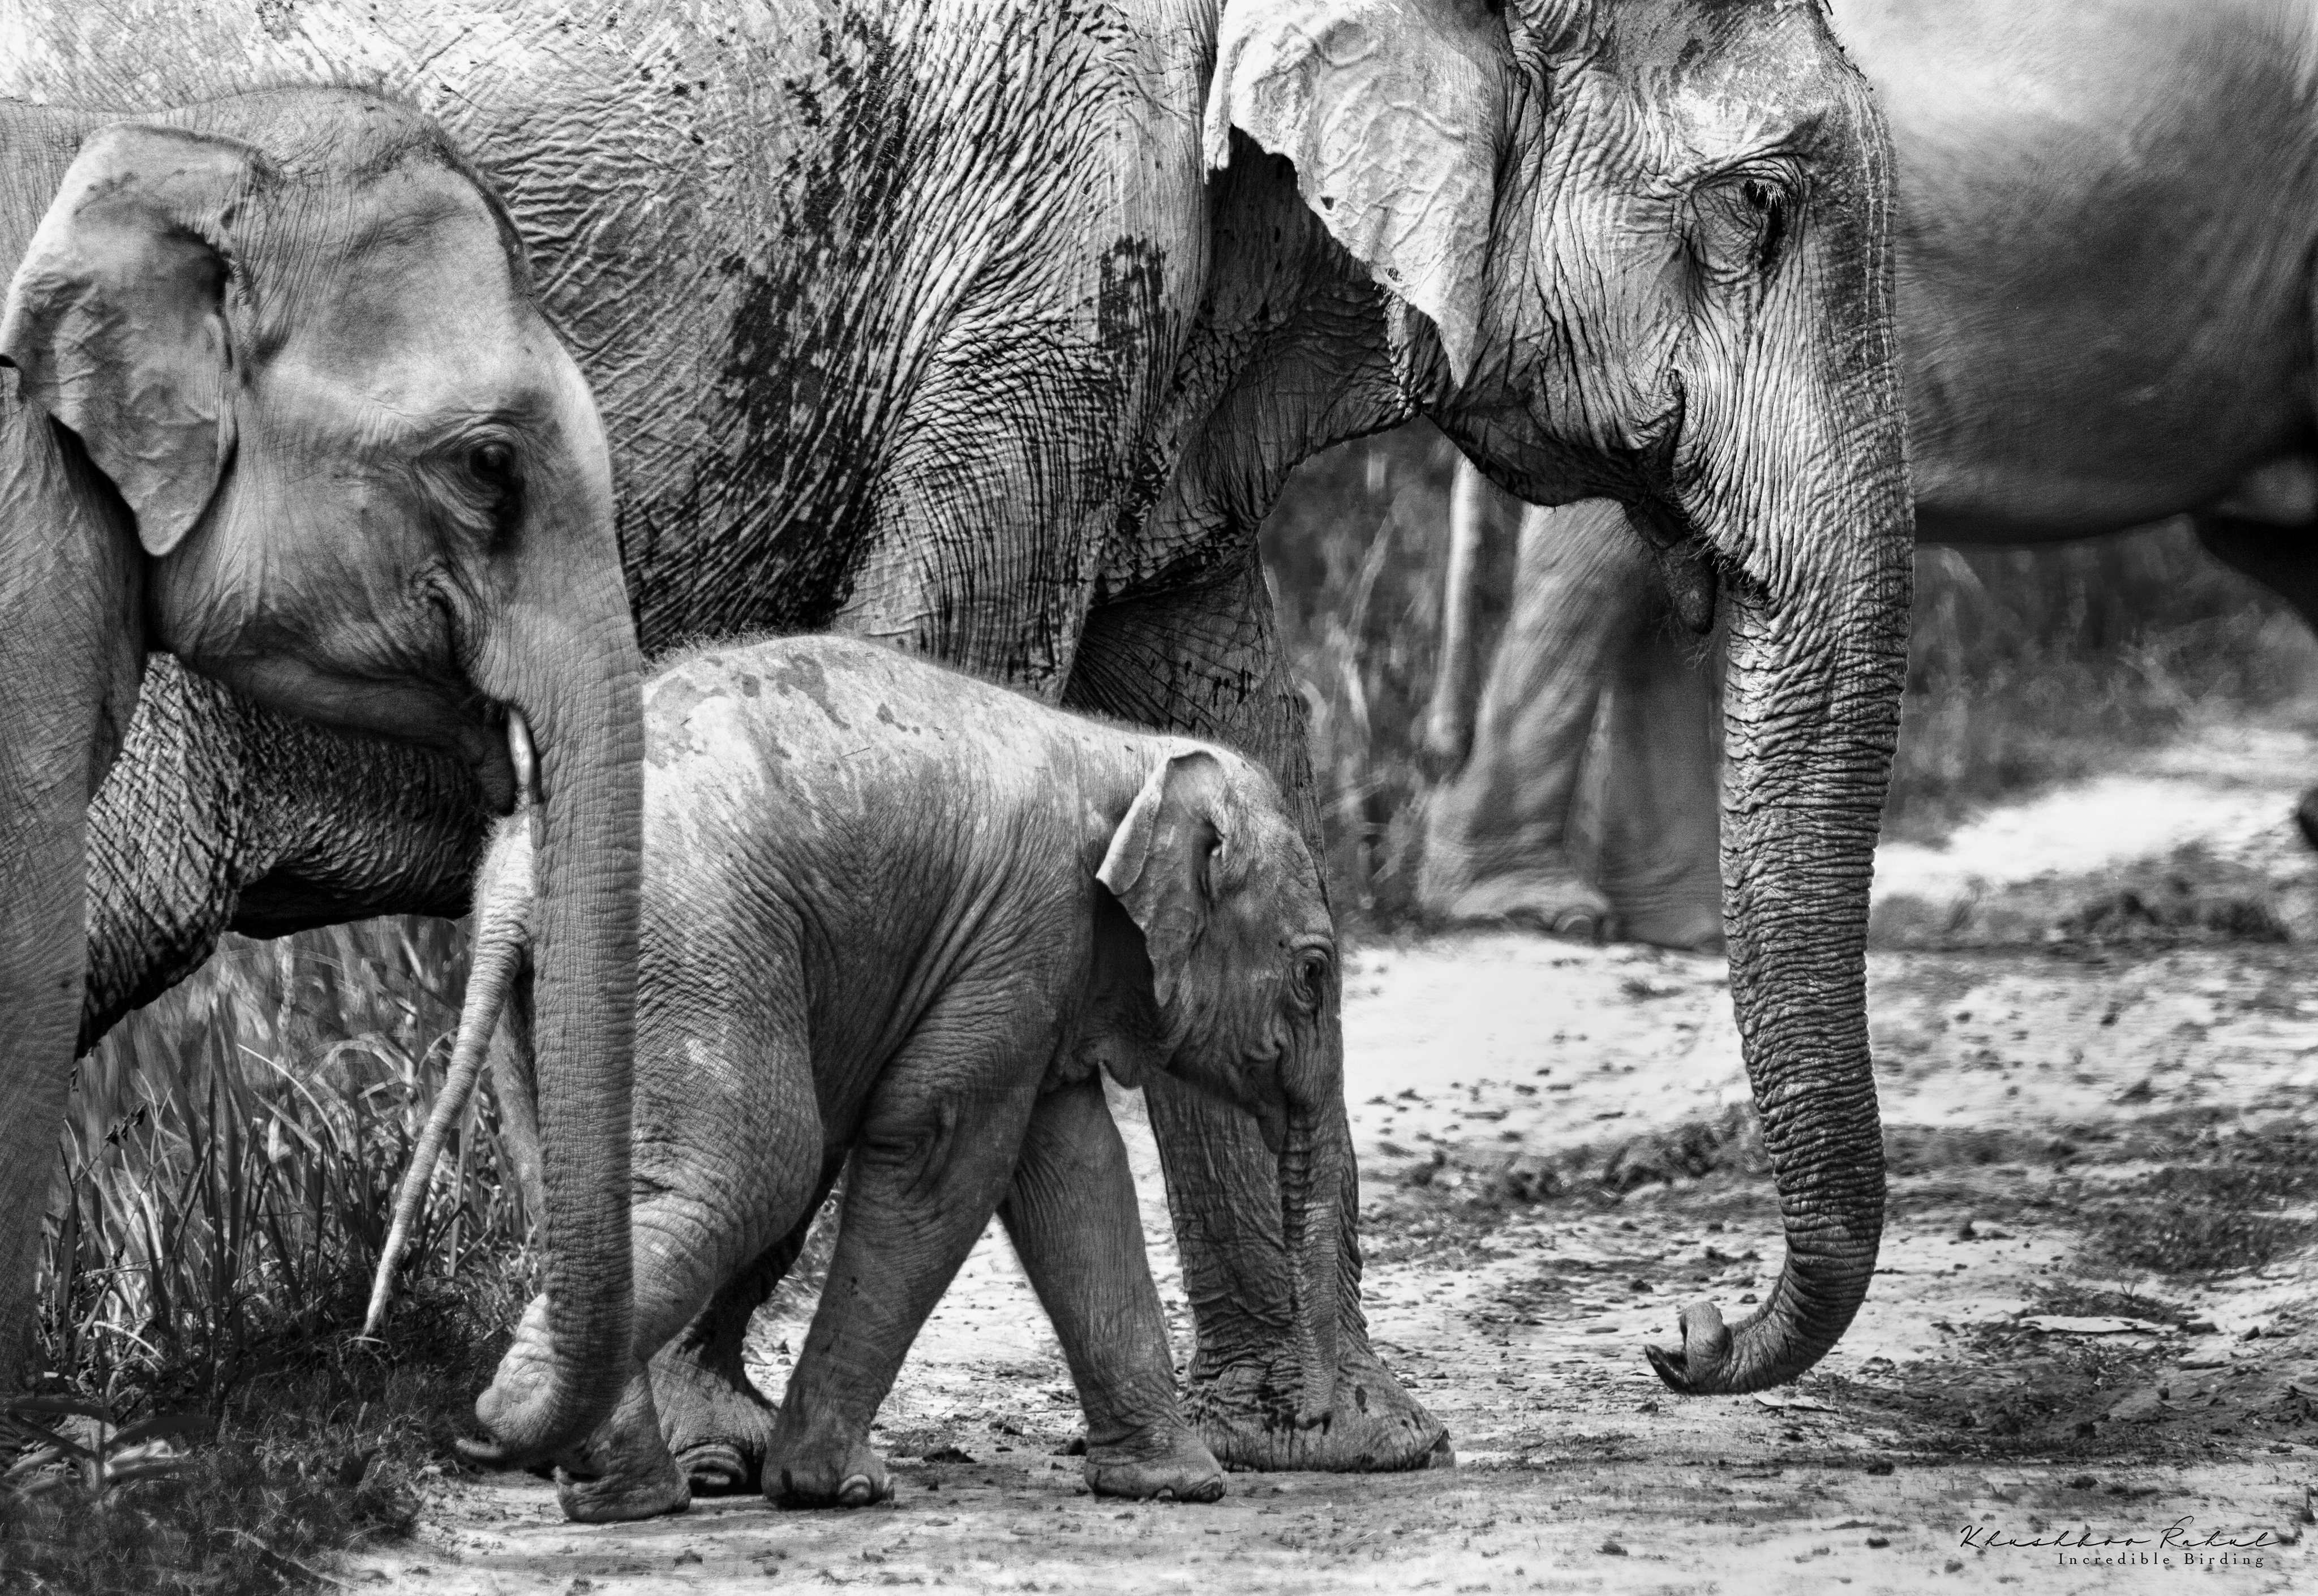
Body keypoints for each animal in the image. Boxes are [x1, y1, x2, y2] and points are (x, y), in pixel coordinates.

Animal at [367, 635, 1342, 1521]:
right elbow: (942, 1153)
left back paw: (620, 1491)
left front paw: (1177, 1486)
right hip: (698, 939)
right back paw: (523, 1421)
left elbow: (1072, 1173)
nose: (1313, 1420)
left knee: (582, 1188)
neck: (1130, 753)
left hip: (553, 998)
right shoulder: (1024, 925)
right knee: (756, 1170)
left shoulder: (1043, 965)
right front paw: (837, 1489)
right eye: (1313, 976)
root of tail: (517, 874)